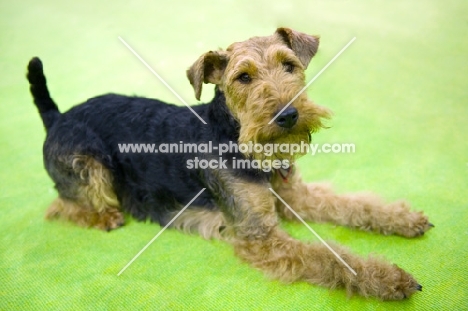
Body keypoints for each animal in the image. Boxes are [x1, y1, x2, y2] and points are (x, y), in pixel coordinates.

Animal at [27, 28, 434, 302]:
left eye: (289, 65)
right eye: (243, 77)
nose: (288, 115)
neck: (242, 142)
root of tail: (57, 115)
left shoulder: (294, 196)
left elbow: (354, 205)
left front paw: (403, 219)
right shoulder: (260, 237)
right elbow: (330, 257)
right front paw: (390, 279)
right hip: (92, 169)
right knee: (61, 206)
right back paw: (105, 218)